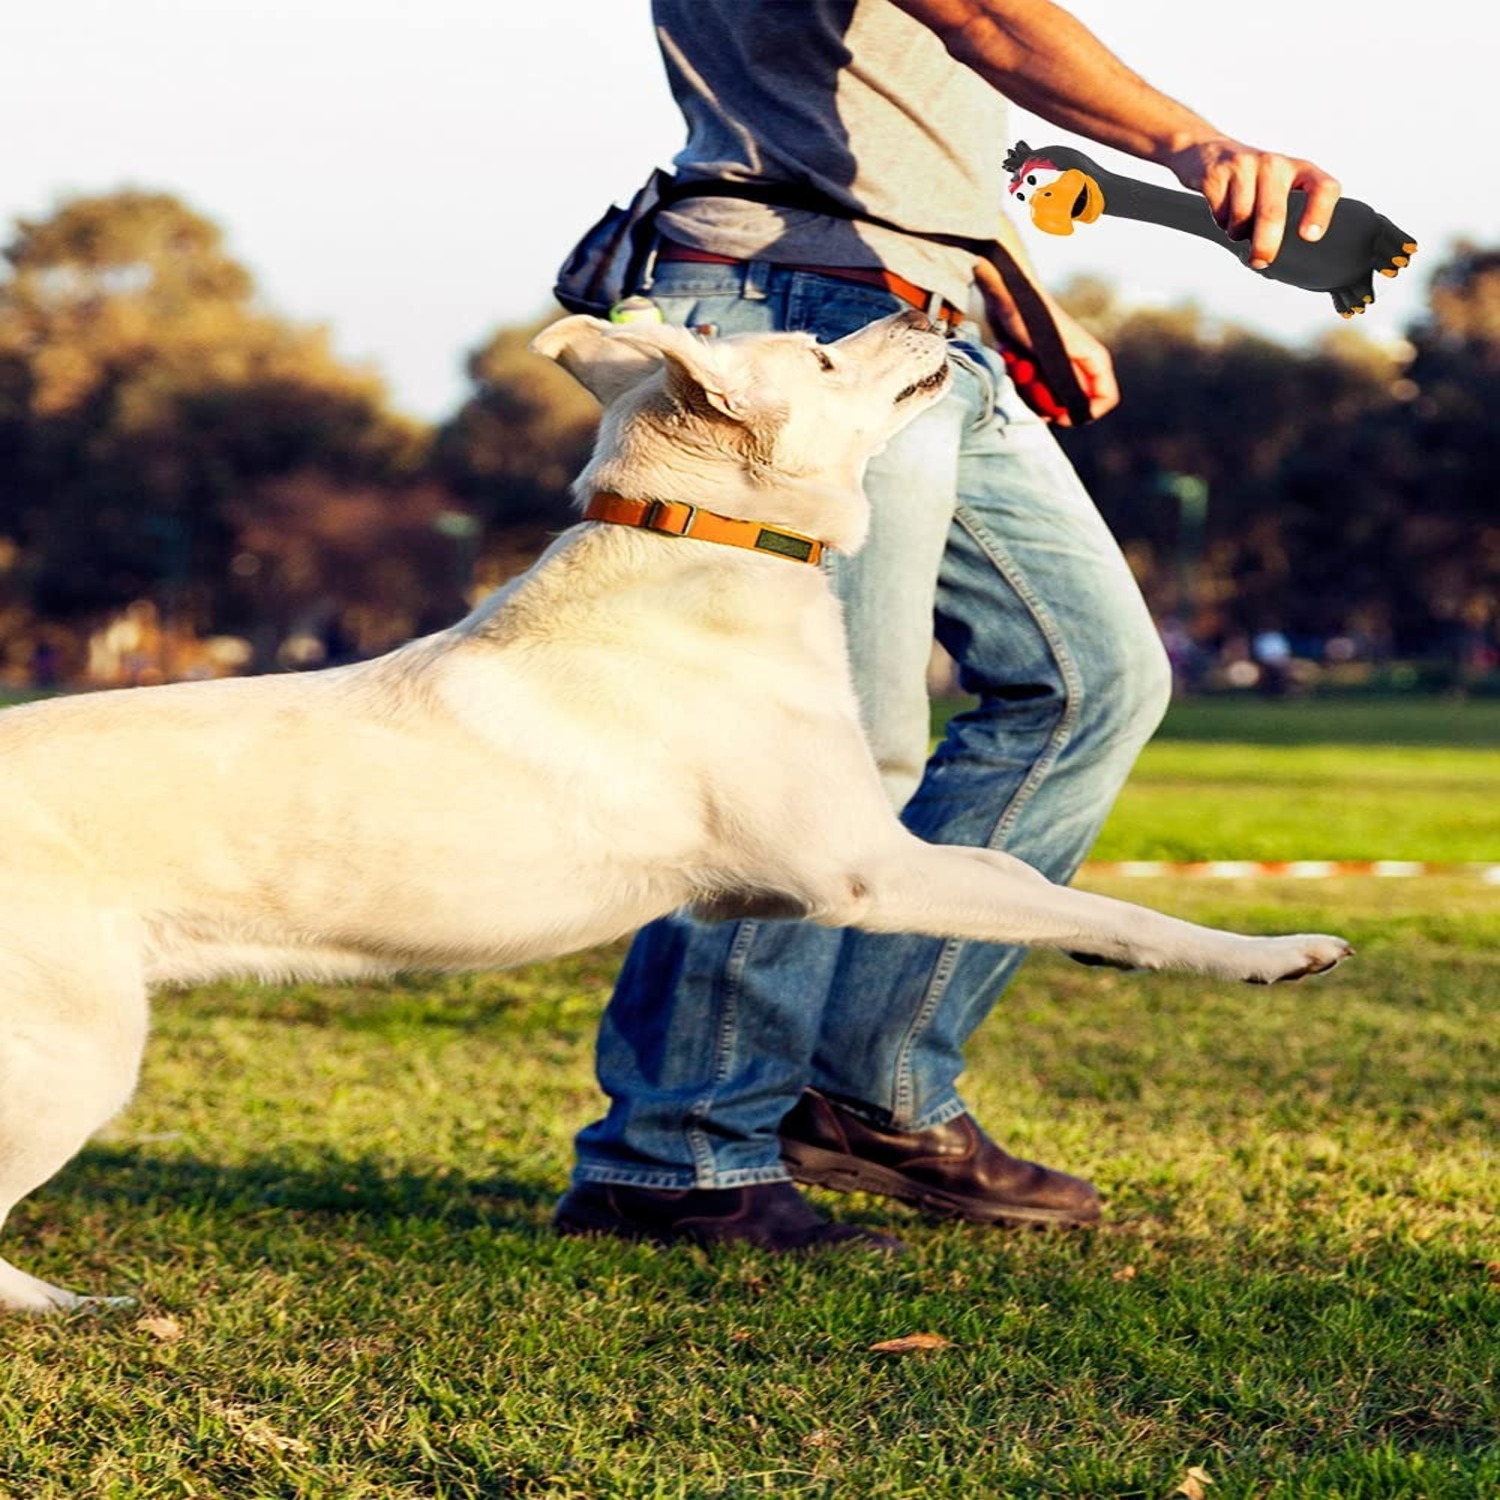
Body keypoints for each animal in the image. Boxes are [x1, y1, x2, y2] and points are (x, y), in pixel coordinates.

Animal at [0, 307, 1350, 1314]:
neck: (713, 545)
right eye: (817, 352)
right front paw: (1271, 951)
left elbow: (1032, 891)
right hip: (75, 1054)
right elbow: (1089, 902)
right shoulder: (862, 870)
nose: (931, 306)